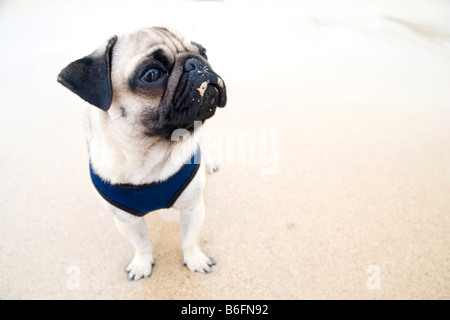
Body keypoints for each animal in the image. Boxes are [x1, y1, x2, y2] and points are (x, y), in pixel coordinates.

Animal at [58, 26, 227, 280]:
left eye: (203, 52)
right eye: (151, 74)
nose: (196, 63)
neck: (150, 152)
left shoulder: (192, 207)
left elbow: (189, 239)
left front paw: (194, 259)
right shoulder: (126, 220)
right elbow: (141, 244)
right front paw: (142, 264)